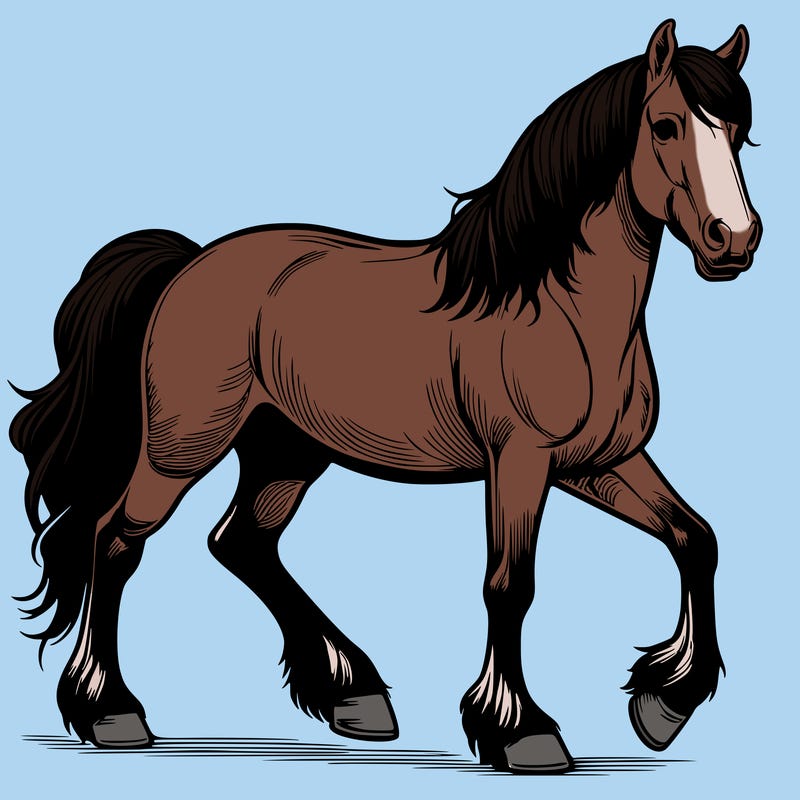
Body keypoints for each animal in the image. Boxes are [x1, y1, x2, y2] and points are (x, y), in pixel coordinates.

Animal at [10, 20, 760, 773]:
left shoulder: (599, 463)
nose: (735, 240)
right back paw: (112, 713)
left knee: (242, 542)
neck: (557, 307)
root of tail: (188, 264)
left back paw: (353, 694)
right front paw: (521, 731)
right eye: (665, 125)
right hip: (182, 448)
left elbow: (696, 538)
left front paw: (663, 705)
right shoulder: (520, 461)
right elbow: (509, 584)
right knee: (115, 541)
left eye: (740, 131)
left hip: (286, 451)